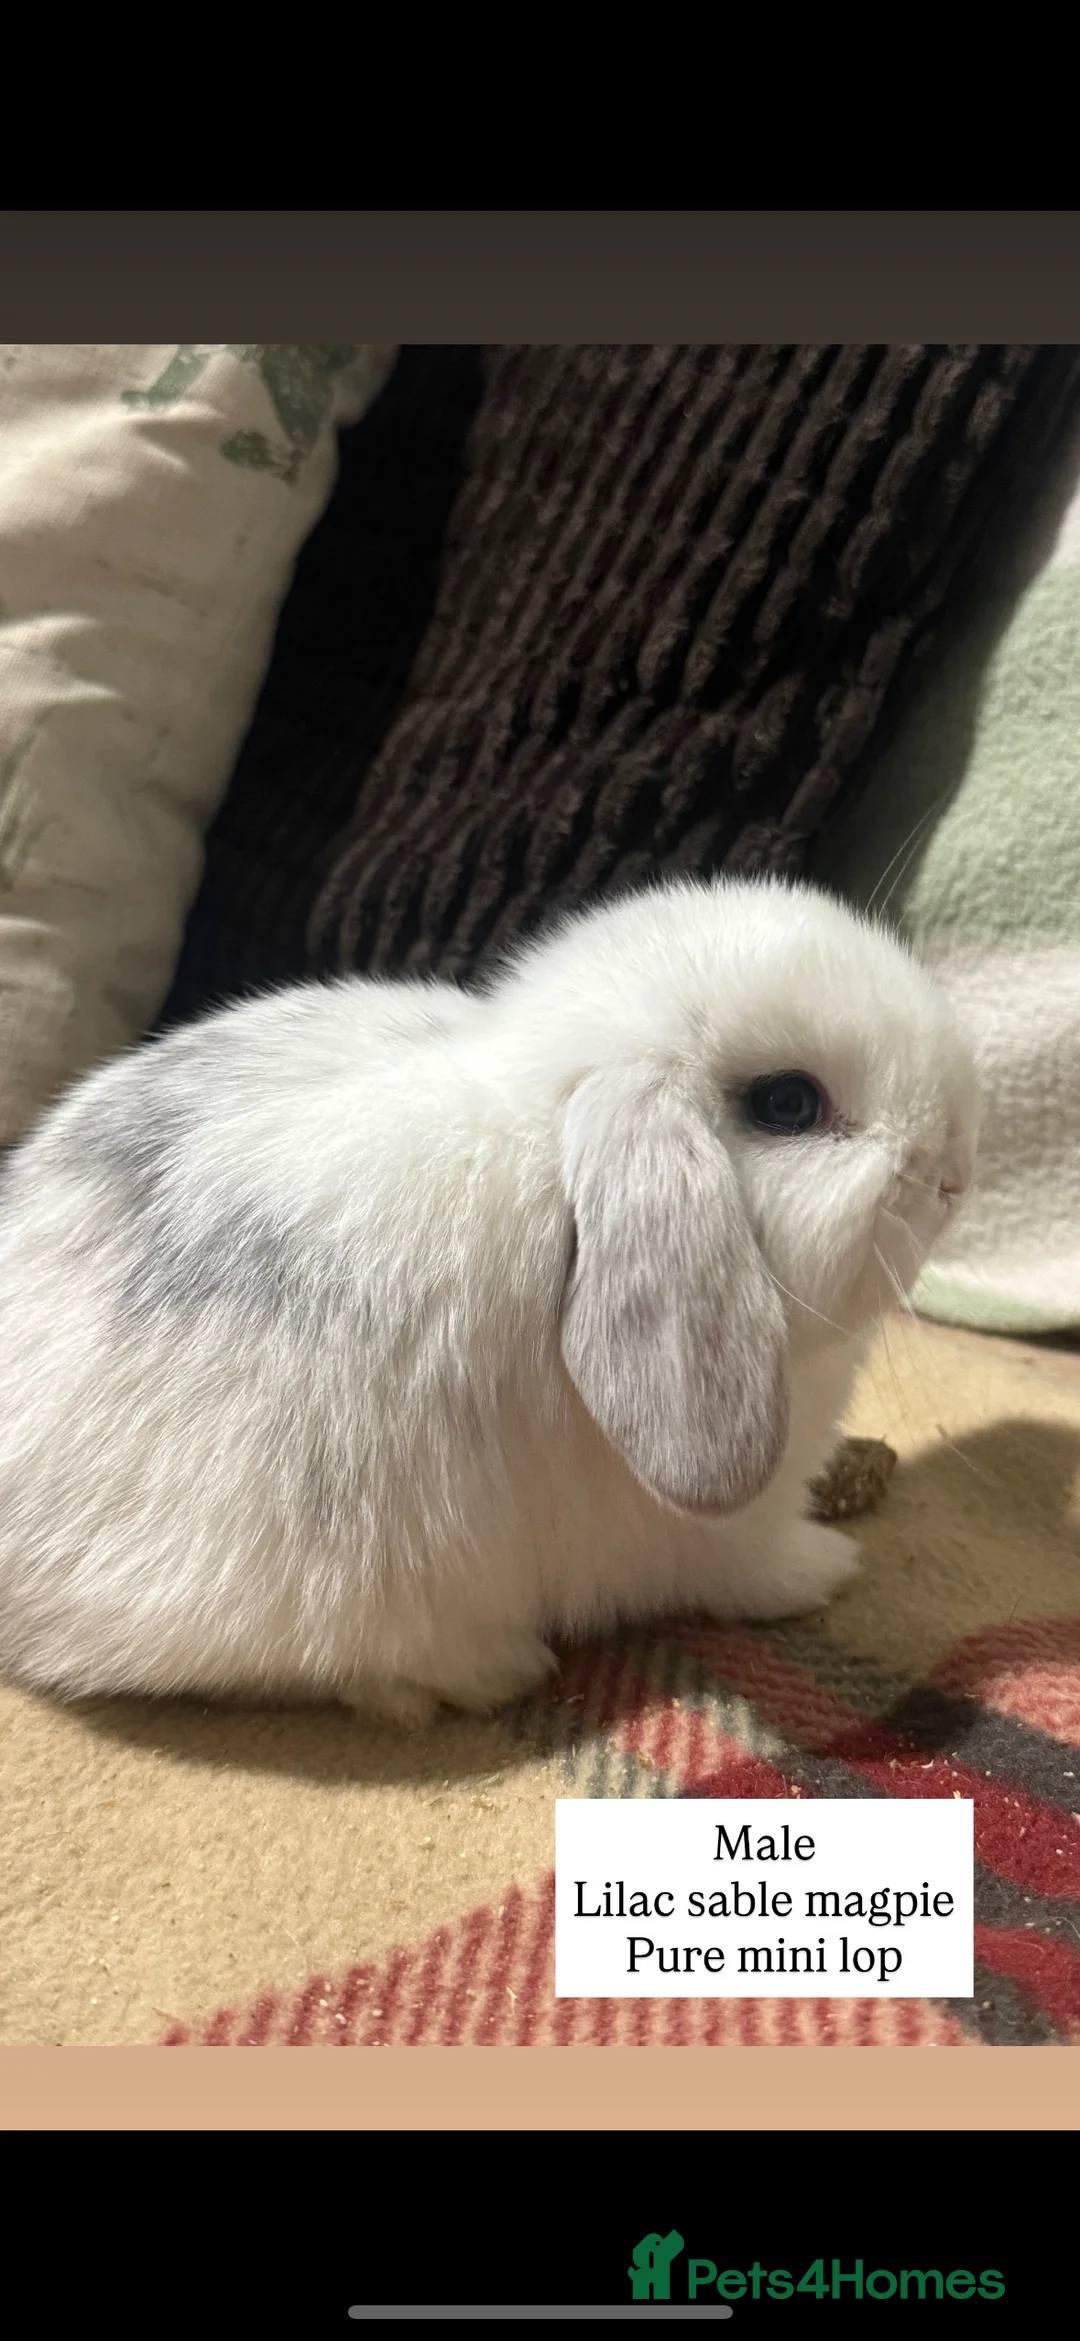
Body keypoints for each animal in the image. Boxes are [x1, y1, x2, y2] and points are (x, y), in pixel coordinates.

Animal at [0, 873, 979, 1727]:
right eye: (788, 1103)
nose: (955, 1171)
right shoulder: (728, 1533)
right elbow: (756, 1571)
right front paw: (832, 1566)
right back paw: (486, 1670)